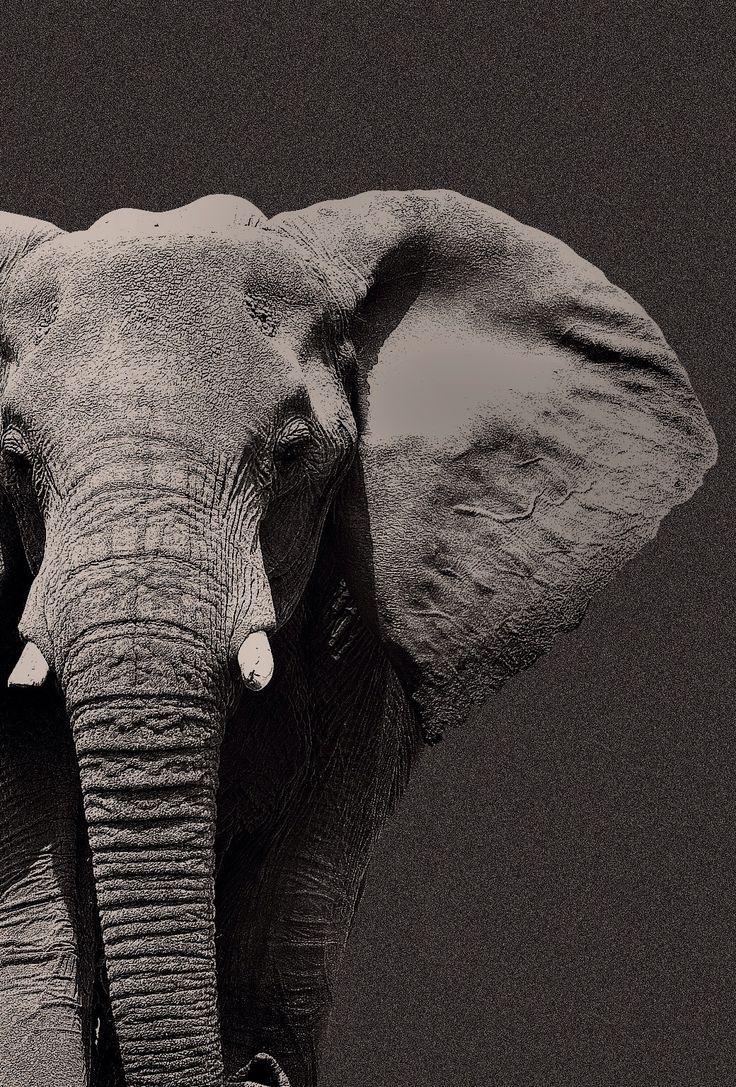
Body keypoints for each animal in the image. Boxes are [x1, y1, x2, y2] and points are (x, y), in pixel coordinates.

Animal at [0, 189, 716, 1087]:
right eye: (15, 459)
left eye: (293, 452)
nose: (253, 1073)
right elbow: (33, 938)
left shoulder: (358, 630)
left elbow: (288, 920)